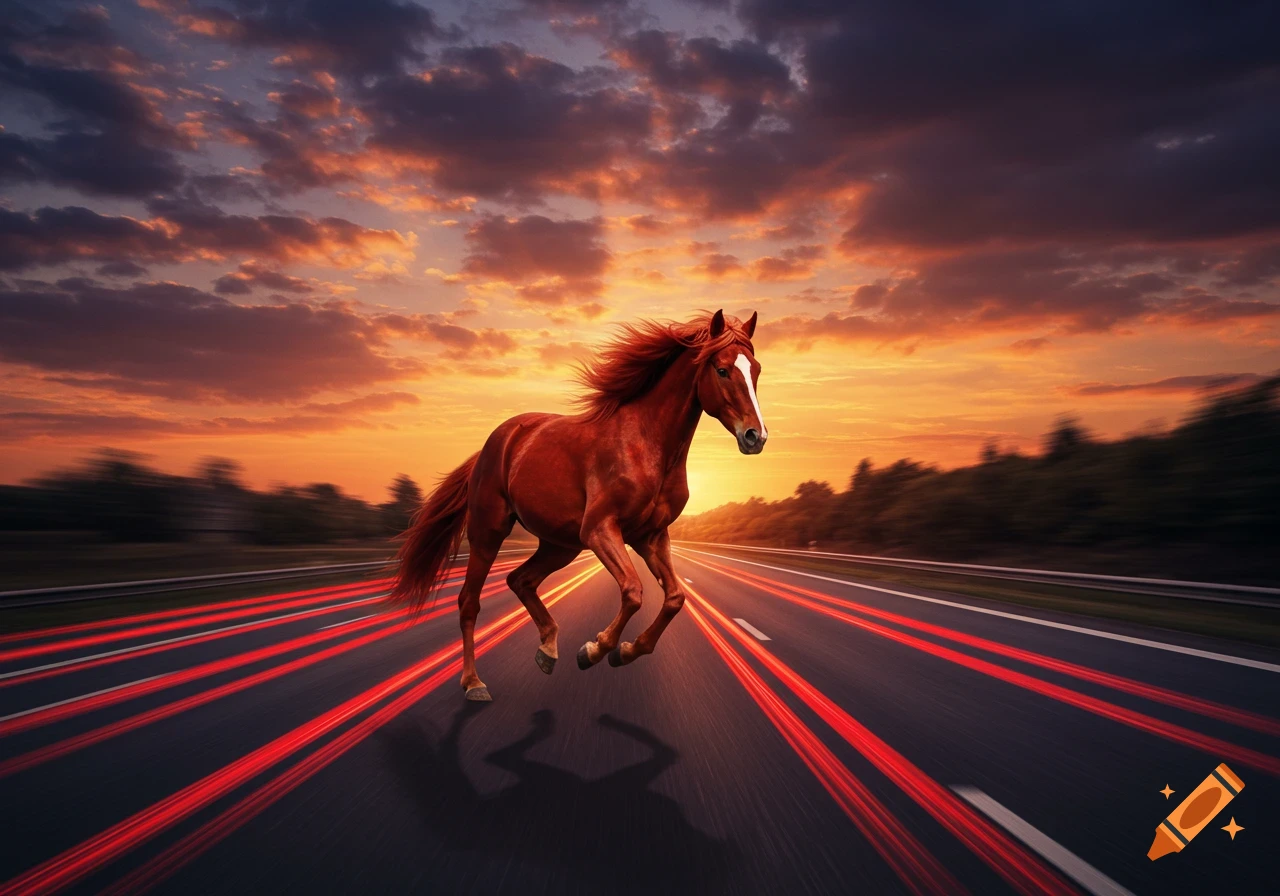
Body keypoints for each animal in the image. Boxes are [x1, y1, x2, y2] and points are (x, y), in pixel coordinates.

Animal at [390, 309, 768, 701]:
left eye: (756, 369)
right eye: (722, 370)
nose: (755, 437)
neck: (647, 446)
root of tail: (495, 441)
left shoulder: (650, 536)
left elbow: (675, 598)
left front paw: (626, 651)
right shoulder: (600, 529)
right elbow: (633, 591)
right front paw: (595, 650)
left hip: (560, 545)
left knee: (520, 580)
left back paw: (547, 651)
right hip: (488, 533)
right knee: (469, 601)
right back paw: (474, 683)